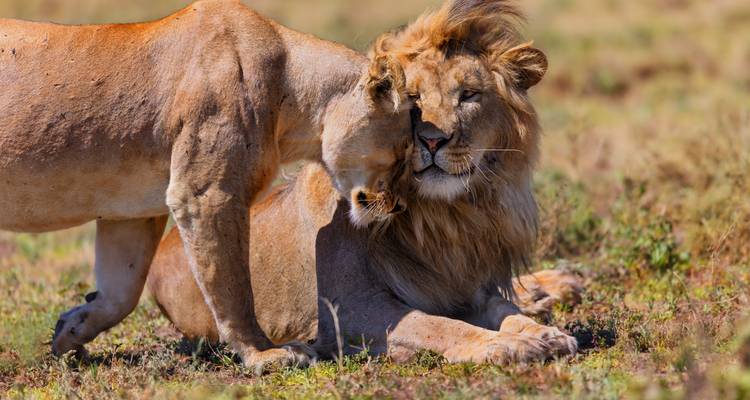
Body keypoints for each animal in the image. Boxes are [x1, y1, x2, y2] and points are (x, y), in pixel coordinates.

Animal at [0, 0, 414, 370]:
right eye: (405, 152)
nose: (399, 206)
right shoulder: (206, 195)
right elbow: (232, 286)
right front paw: (264, 353)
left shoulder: (131, 212)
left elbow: (121, 292)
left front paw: (69, 330)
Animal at [148, 0, 583, 365]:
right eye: (414, 100)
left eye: (469, 95)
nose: (432, 140)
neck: (445, 217)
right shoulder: (350, 311)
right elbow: (438, 325)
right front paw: (506, 345)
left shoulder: (469, 287)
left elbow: (505, 310)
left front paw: (542, 332)